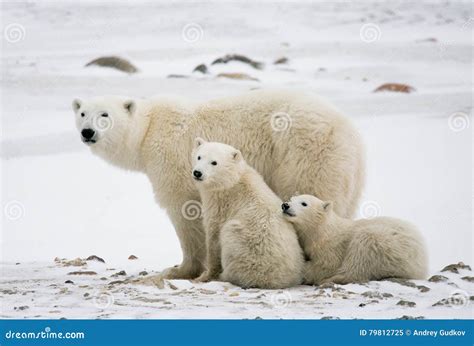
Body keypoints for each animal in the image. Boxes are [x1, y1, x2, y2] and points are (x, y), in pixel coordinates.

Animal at [191, 139, 302, 288]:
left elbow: (213, 237)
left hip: (244, 246)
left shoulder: (220, 205)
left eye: (214, 162)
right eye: (199, 157)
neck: (233, 181)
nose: (197, 173)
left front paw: (204, 276)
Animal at [282, 193, 426, 286]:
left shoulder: (333, 247)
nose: (285, 205)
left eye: (304, 203)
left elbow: (326, 265)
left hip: (391, 245)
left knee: (361, 254)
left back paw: (332, 279)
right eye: (291, 199)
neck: (321, 231)